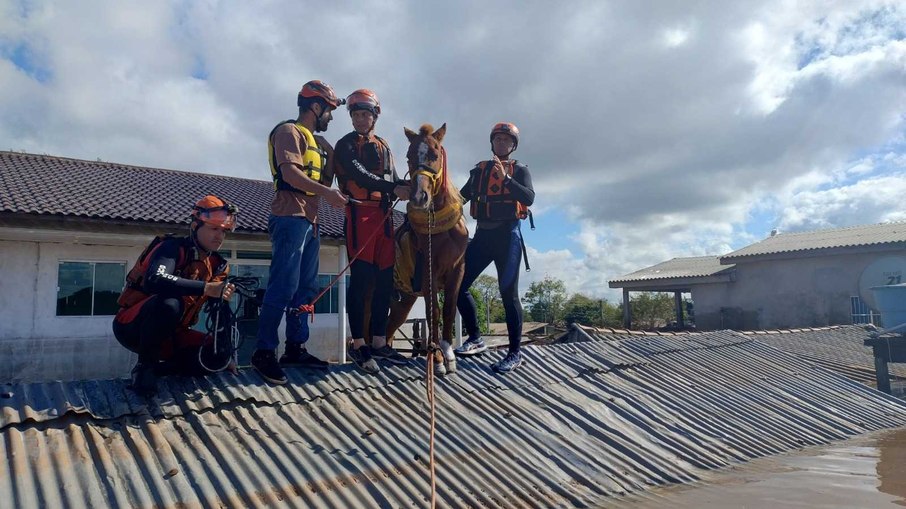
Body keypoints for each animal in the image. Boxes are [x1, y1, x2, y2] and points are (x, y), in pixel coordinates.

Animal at [384, 123, 466, 374]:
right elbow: (434, 312)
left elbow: (449, 308)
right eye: (409, 157)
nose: (419, 197)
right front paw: (437, 358)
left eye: (435, 154)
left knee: (390, 327)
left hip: (403, 301)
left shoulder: (457, 269)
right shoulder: (429, 271)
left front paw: (448, 354)